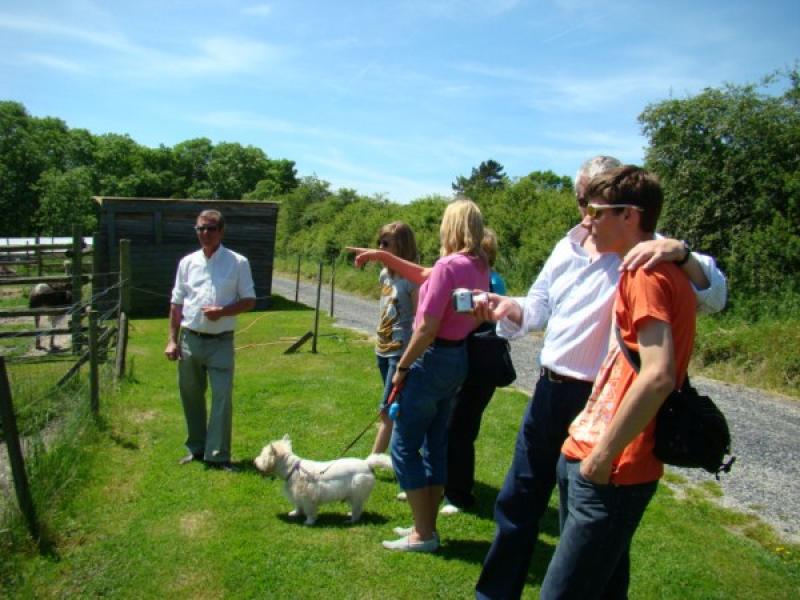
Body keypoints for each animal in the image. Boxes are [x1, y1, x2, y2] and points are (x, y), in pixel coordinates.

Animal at [254, 435, 394, 525]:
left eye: (263, 455)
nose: (255, 462)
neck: (292, 469)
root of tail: (367, 464)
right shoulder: (298, 495)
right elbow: (298, 505)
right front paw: (294, 513)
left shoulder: (308, 497)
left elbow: (309, 511)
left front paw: (309, 522)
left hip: (356, 493)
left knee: (357, 509)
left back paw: (350, 520)